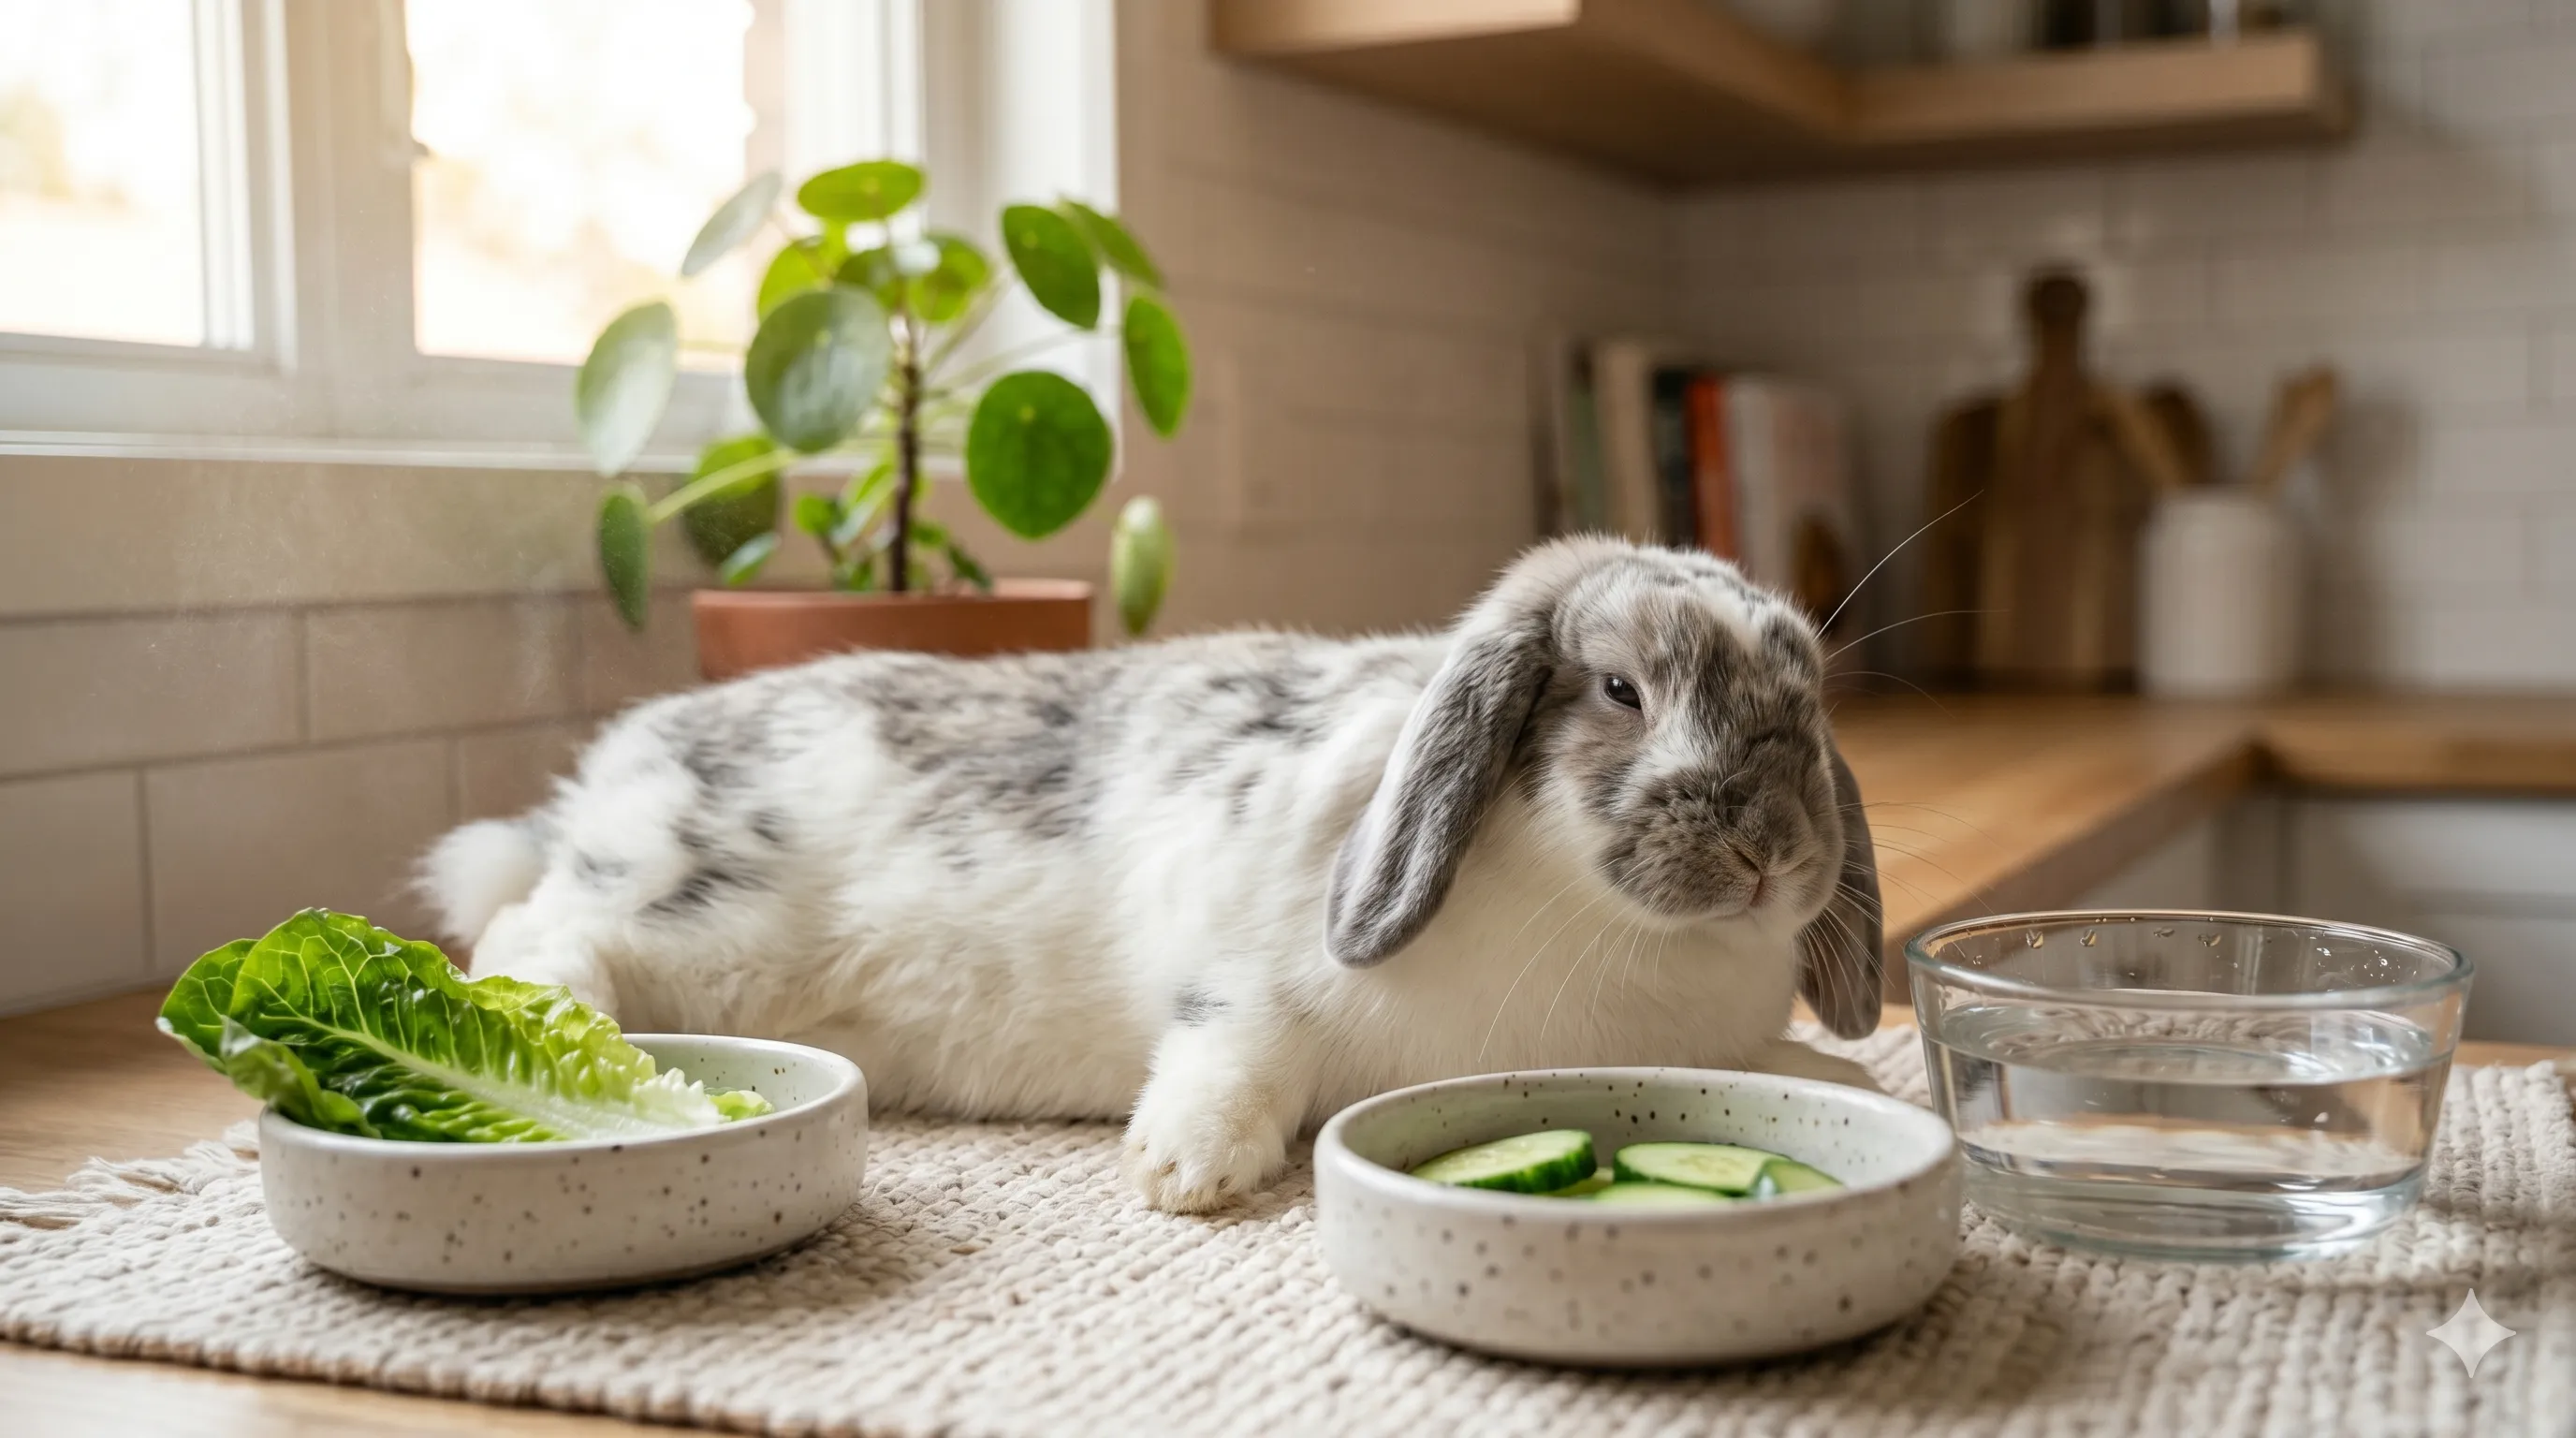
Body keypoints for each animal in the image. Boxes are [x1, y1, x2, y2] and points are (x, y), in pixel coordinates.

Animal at [421, 535, 1886, 1212]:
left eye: (1809, 705)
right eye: (1623, 691)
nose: (1771, 855)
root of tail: (612, 772)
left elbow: (1793, 1068)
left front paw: (1859, 1081)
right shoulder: (1244, 976)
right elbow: (1237, 1056)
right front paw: (1185, 1172)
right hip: (680, 904)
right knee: (530, 923)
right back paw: (561, 1013)